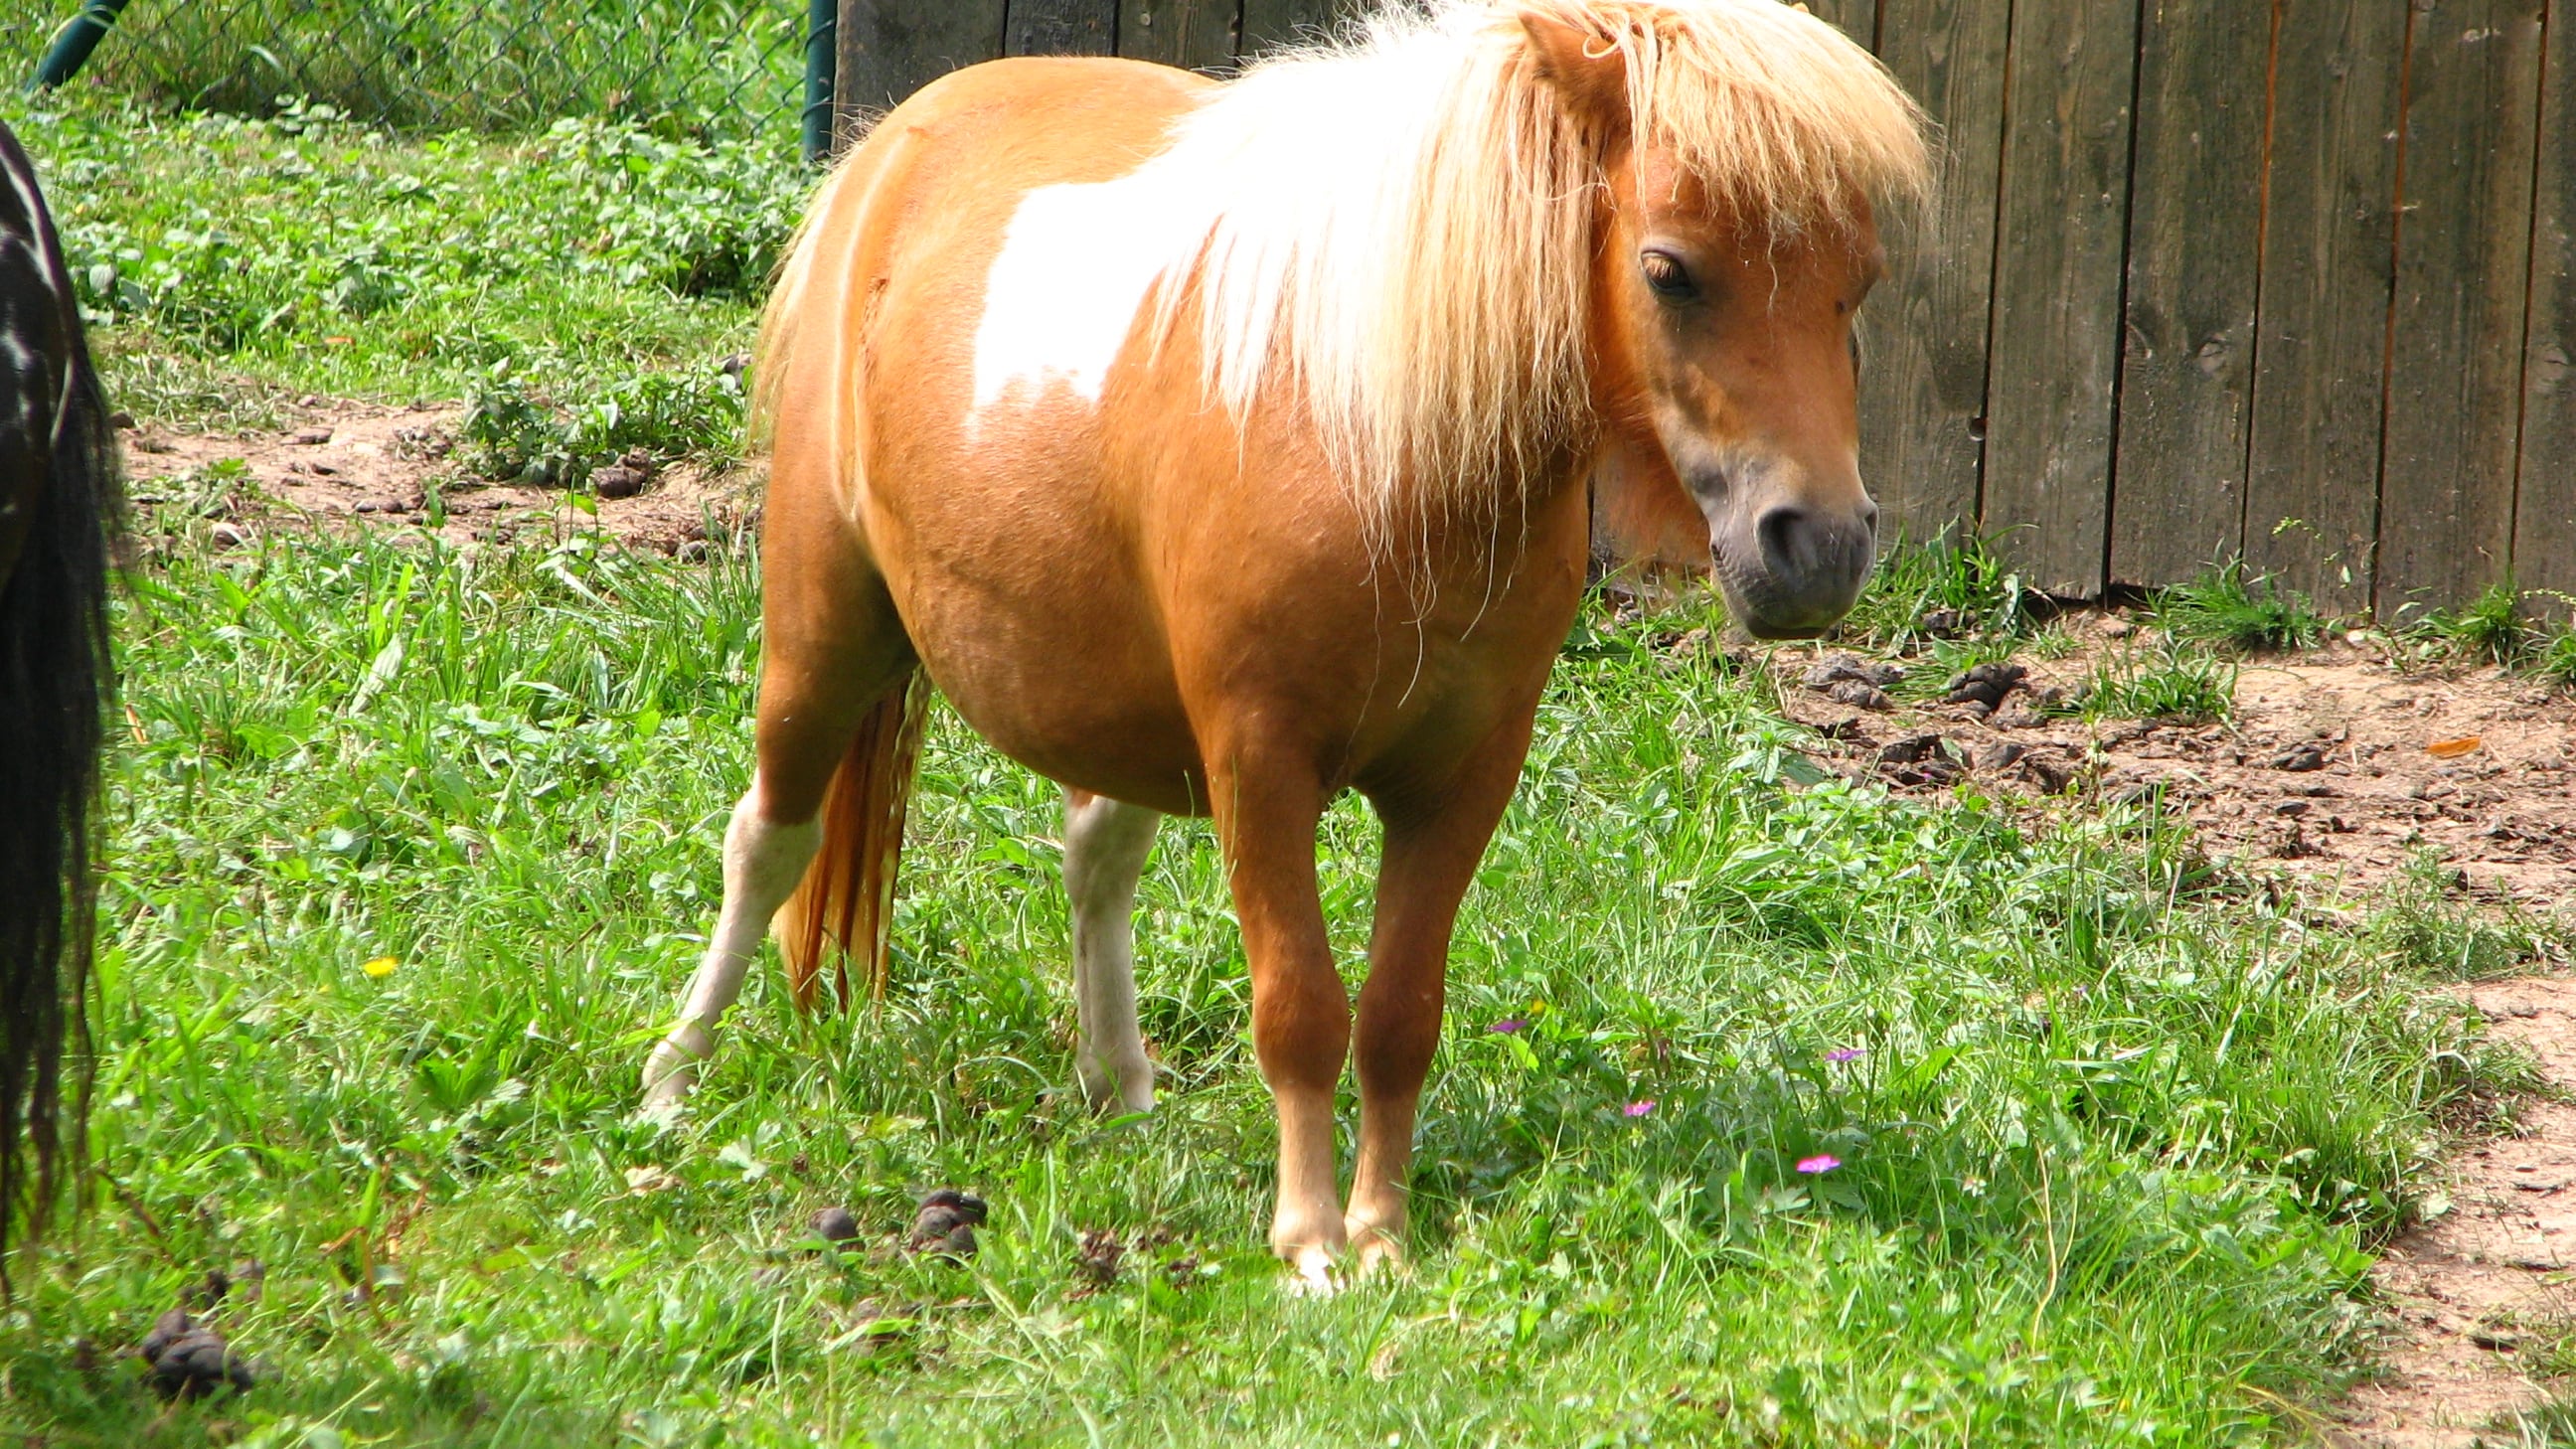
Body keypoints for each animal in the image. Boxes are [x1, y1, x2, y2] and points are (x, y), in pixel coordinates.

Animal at [641, 0, 1929, 1286]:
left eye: (1861, 282)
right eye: (1670, 270)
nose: (1818, 545)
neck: (1372, 437)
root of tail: (894, 144)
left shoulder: (1462, 781)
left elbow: (1401, 1013)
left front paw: (1383, 1233)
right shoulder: (1260, 765)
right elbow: (1301, 1009)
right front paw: (1310, 1244)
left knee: (1093, 860)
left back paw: (1121, 1091)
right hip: (824, 633)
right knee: (769, 839)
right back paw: (672, 1083)